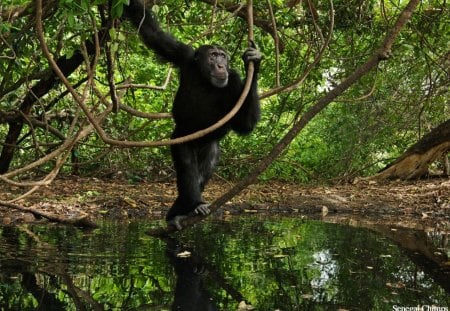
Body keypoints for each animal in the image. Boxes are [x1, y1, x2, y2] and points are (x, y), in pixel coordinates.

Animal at [125, 0, 262, 229]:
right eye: (213, 55)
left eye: (223, 56)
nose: (221, 65)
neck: (204, 77)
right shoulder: (183, 54)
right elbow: (152, 33)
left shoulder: (233, 80)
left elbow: (244, 124)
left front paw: (254, 60)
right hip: (181, 139)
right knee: (188, 171)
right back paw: (186, 209)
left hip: (210, 147)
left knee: (203, 173)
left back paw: (184, 210)